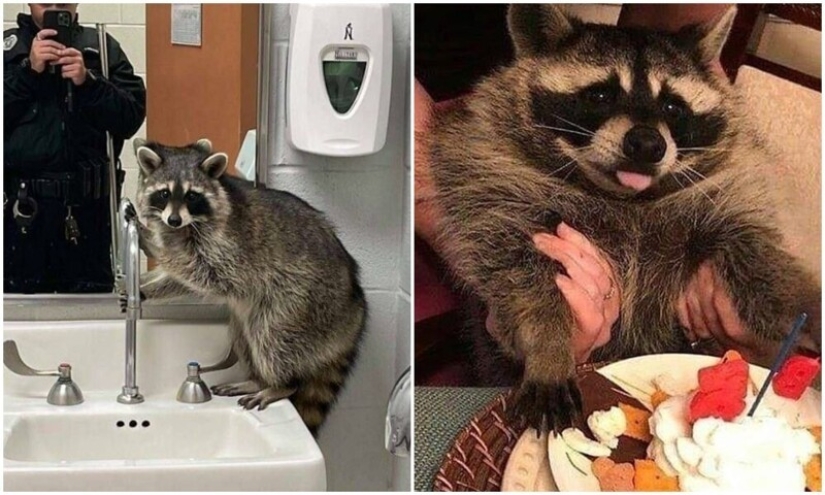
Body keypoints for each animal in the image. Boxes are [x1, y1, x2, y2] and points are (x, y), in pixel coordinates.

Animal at [133, 138, 367, 433]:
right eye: (163, 193)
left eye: (192, 196)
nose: (173, 220)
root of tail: (356, 300)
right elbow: (179, 278)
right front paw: (144, 278)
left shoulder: (227, 247)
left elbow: (203, 276)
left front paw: (154, 259)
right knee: (244, 334)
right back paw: (257, 378)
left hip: (306, 301)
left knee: (271, 337)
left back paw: (280, 384)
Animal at [427, 5, 820, 433]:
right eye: (601, 94)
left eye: (672, 106)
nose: (648, 144)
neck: (626, 198)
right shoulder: (496, 189)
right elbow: (518, 275)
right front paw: (549, 344)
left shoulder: (729, 194)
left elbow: (761, 257)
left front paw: (806, 305)